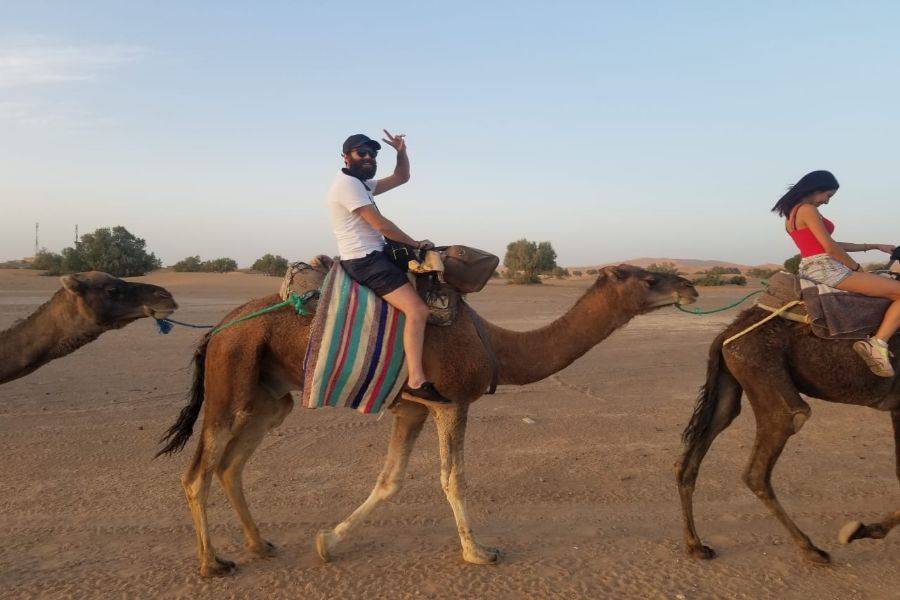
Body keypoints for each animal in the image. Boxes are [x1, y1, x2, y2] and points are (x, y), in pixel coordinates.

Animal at [156, 264, 697, 577]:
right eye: (650, 278)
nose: (691, 286)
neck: (495, 344)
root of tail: (214, 331)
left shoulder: (413, 407)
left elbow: (390, 480)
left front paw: (327, 542)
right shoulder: (452, 402)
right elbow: (453, 479)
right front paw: (479, 552)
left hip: (270, 398)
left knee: (231, 466)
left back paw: (260, 545)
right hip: (231, 380)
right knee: (197, 472)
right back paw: (212, 563)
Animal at [675, 305, 900, 564]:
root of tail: (727, 334)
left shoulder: (897, 407)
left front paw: (864, 530)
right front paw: (859, 531)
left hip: (729, 384)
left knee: (696, 453)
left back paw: (696, 545)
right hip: (763, 372)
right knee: (767, 456)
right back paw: (811, 548)